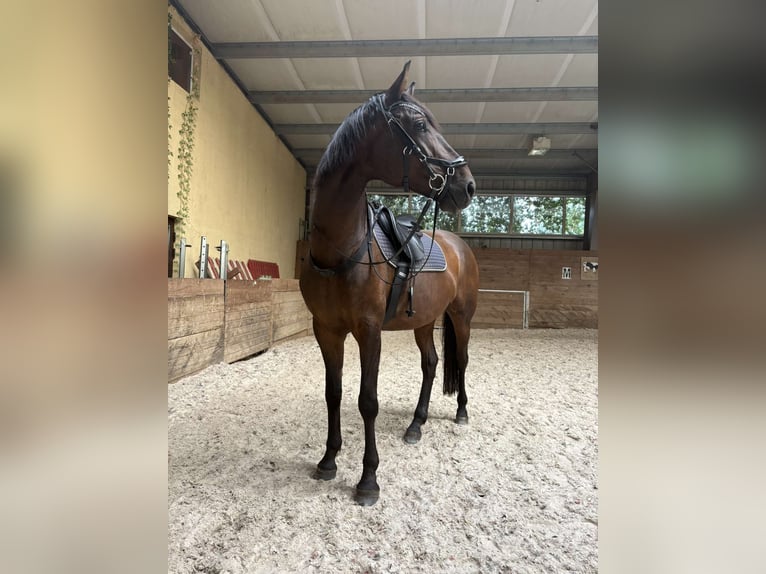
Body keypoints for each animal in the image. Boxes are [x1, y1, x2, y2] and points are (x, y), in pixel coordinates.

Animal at [299, 61, 479, 506]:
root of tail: (458, 245)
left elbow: (368, 401)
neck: (341, 249)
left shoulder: (369, 331)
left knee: (462, 360)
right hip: (423, 322)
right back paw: (416, 424)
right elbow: (333, 393)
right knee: (431, 364)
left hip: (461, 317)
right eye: (419, 123)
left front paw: (368, 480)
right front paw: (328, 461)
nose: (467, 184)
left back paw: (461, 412)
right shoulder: (326, 330)